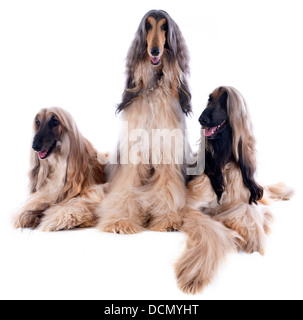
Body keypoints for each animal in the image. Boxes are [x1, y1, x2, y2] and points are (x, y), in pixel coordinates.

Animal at [97, 10, 192, 234]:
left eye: (164, 26)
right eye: (147, 26)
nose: (155, 50)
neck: (153, 86)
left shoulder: (167, 146)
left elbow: (167, 186)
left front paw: (167, 218)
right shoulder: (134, 150)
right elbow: (126, 186)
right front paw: (120, 220)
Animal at [176, 86, 294, 294]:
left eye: (224, 101)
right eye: (209, 99)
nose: (201, 119)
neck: (223, 159)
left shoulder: (244, 198)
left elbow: (250, 211)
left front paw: (251, 234)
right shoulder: (190, 206)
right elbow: (210, 229)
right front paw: (194, 272)